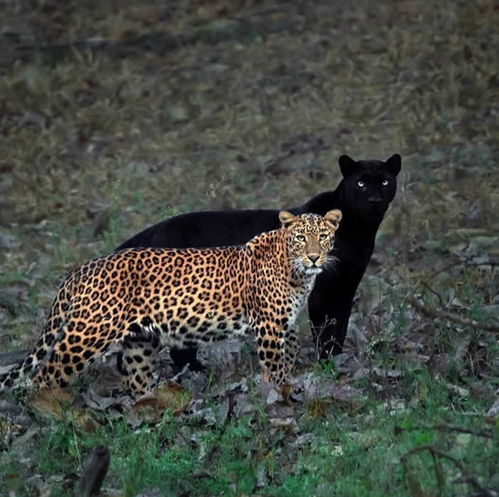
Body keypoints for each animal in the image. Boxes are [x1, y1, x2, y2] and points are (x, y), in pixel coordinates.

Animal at [0, 208, 342, 396]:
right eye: (301, 237)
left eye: (324, 236)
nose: (314, 257)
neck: (297, 272)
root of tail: (81, 269)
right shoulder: (269, 326)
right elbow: (274, 366)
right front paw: (279, 395)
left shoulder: (286, 324)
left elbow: (289, 356)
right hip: (89, 333)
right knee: (45, 374)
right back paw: (51, 412)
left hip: (139, 340)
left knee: (135, 379)